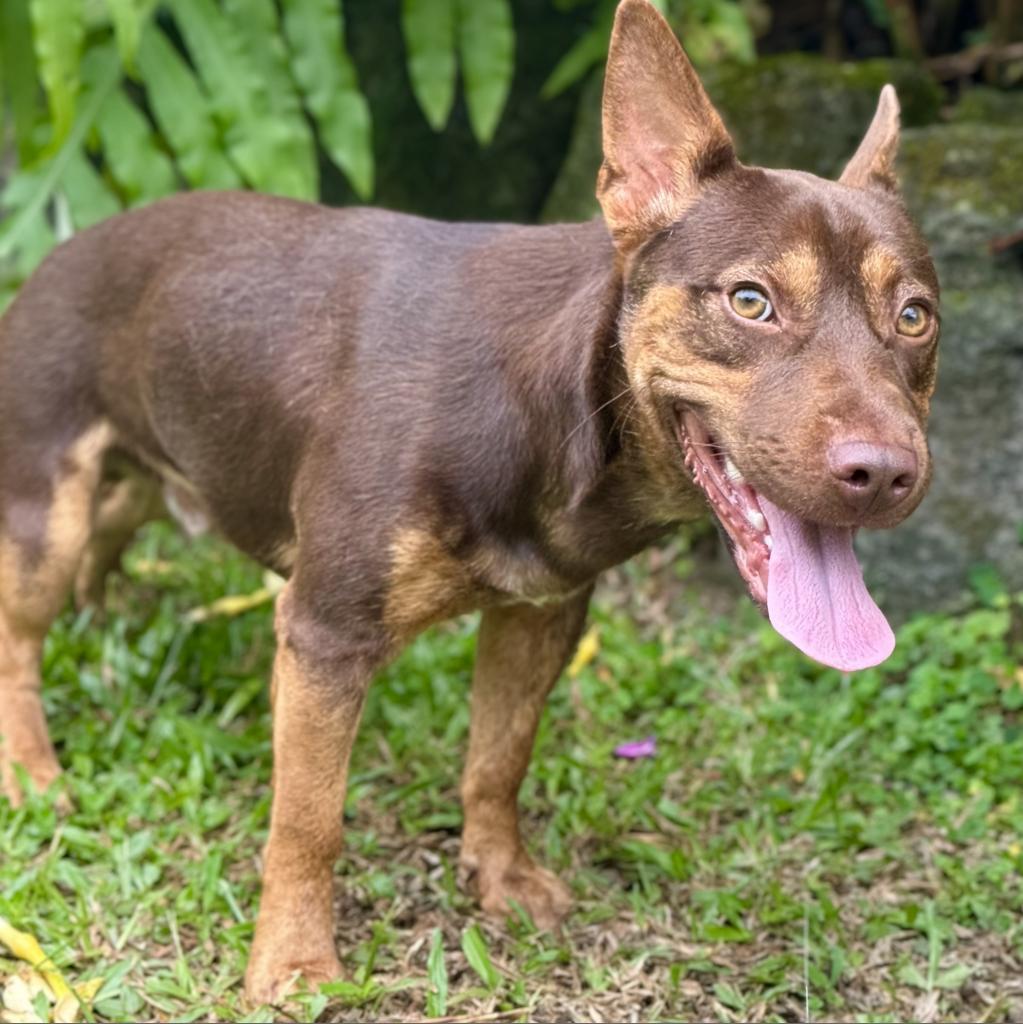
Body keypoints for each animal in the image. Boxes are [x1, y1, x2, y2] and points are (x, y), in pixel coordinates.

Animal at [0, 0, 938, 1007]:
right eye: (751, 301)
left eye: (915, 318)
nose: (884, 474)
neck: (550, 410)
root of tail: (64, 243)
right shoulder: (327, 633)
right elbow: (308, 823)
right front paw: (294, 963)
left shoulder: (540, 613)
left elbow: (497, 761)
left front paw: (499, 875)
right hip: (45, 515)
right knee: (19, 640)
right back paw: (32, 771)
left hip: (155, 477)